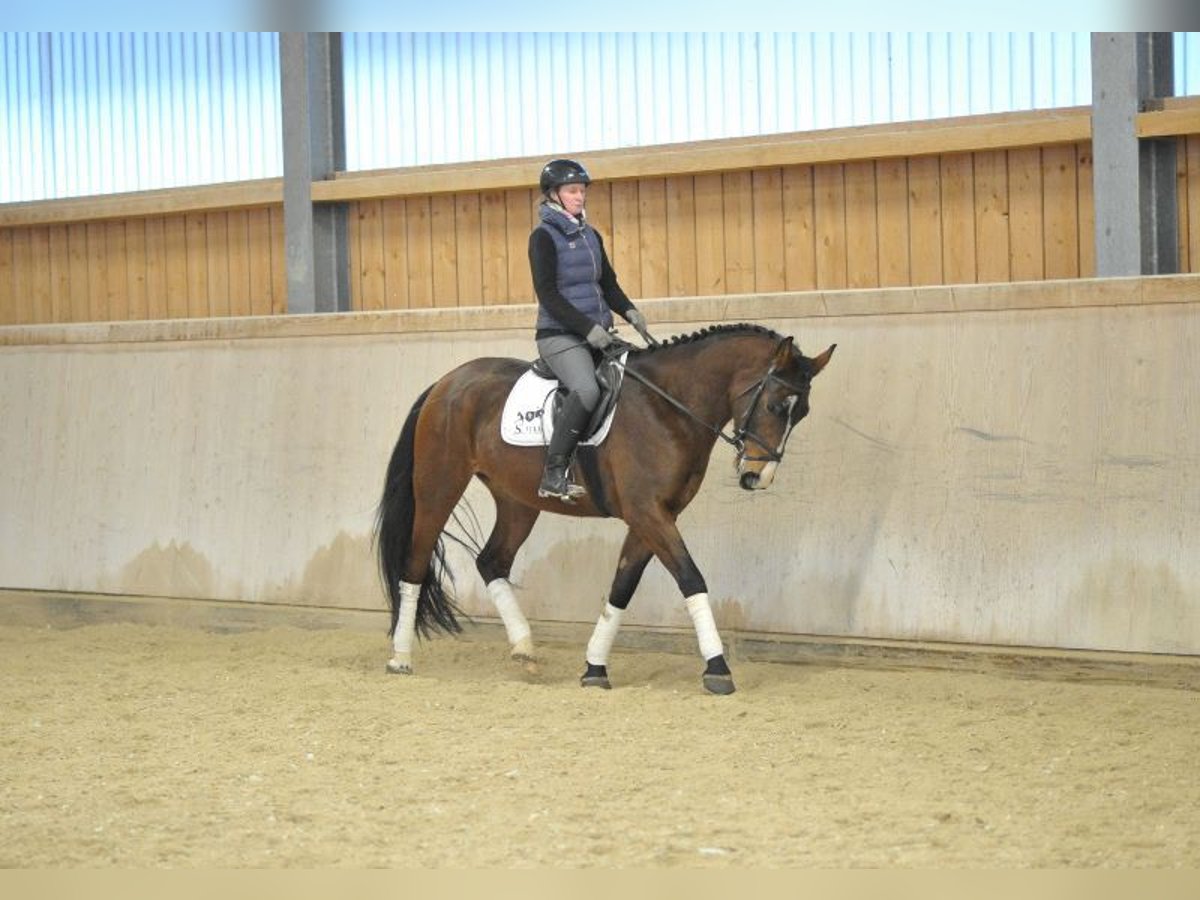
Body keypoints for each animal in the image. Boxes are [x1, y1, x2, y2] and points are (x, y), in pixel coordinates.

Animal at [376, 326, 835, 696]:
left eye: (802, 413)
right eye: (776, 405)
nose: (758, 477)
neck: (668, 407)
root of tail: (446, 382)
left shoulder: (653, 516)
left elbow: (622, 586)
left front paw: (595, 668)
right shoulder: (648, 513)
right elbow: (691, 578)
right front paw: (718, 668)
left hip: (517, 500)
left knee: (492, 560)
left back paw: (524, 650)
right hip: (439, 486)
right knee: (415, 560)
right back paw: (400, 658)